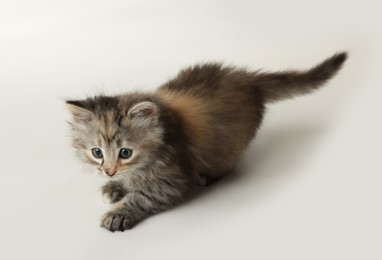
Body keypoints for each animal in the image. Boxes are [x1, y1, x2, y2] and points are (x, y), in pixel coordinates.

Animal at [67, 52, 348, 232]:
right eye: (97, 152)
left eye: (125, 152)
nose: (108, 171)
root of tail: (248, 79)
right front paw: (114, 186)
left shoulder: (171, 179)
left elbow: (143, 196)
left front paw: (119, 213)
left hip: (230, 144)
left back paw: (208, 176)